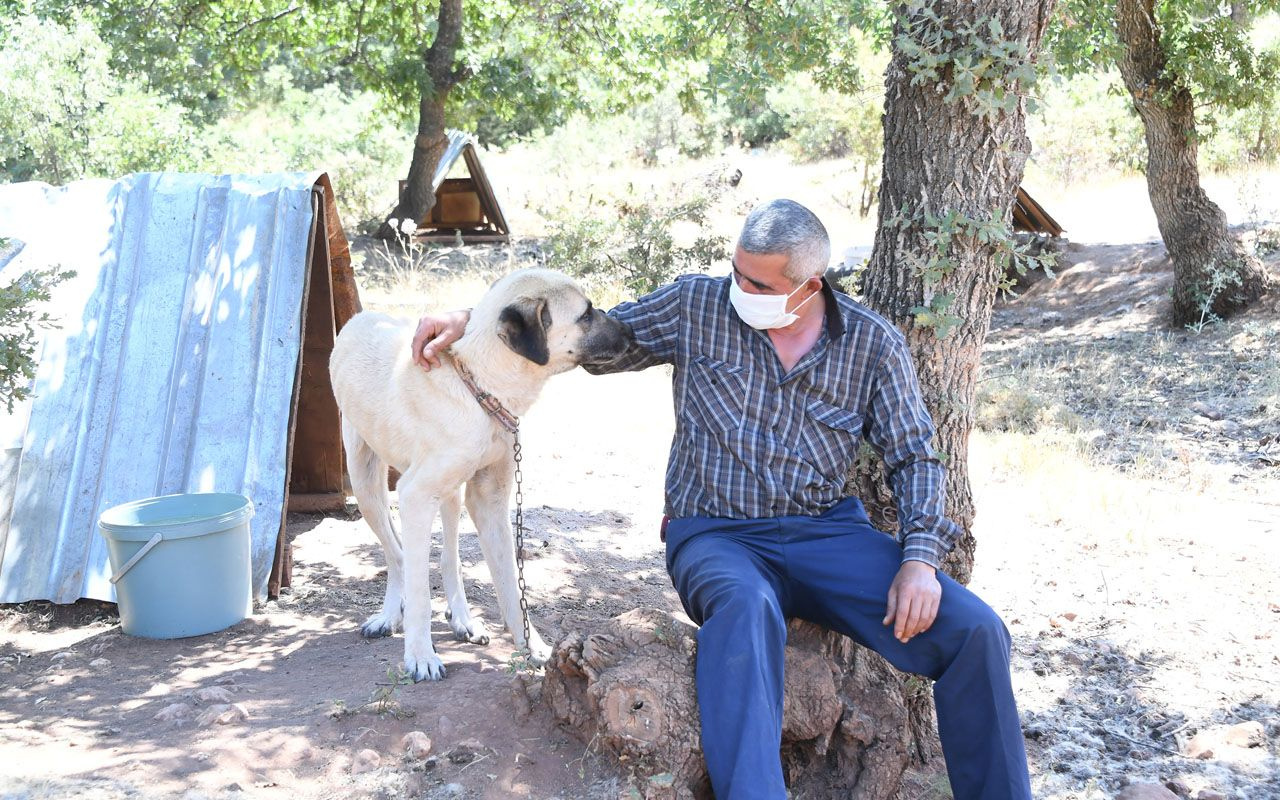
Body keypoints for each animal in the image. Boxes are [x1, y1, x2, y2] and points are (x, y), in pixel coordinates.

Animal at [330, 268, 629, 680]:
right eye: (585, 314)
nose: (632, 334)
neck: (479, 387)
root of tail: (364, 316)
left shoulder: (488, 499)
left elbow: (511, 586)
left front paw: (533, 647)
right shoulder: (414, 495)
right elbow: (419, 592)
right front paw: (420, 655)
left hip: (450, 494)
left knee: (448, 558)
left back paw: (464, 619)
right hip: (366, 484)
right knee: (398, 556)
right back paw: (390, 615)